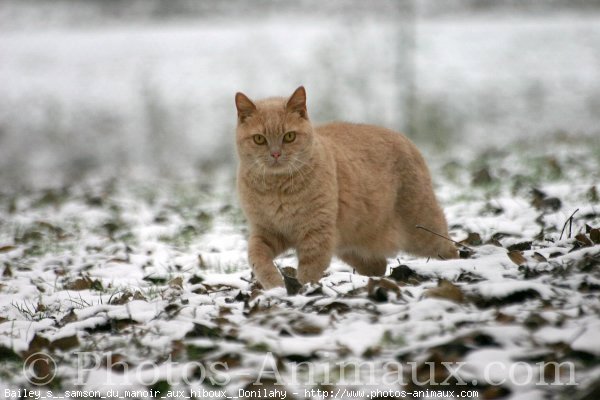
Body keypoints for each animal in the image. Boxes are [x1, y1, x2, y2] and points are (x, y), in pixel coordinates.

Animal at [236, 86, 460, 288]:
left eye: (289, 136)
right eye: (259, 139)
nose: (275, 154)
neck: (277, 188)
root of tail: (405, 139)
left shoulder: (316, 234)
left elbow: (309, 269)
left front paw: (304, 289)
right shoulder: (266, 232)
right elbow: (257, 258)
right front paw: (275, 285)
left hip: (422, 229)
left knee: (450, 248)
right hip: (351, 247)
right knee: (378, 265)